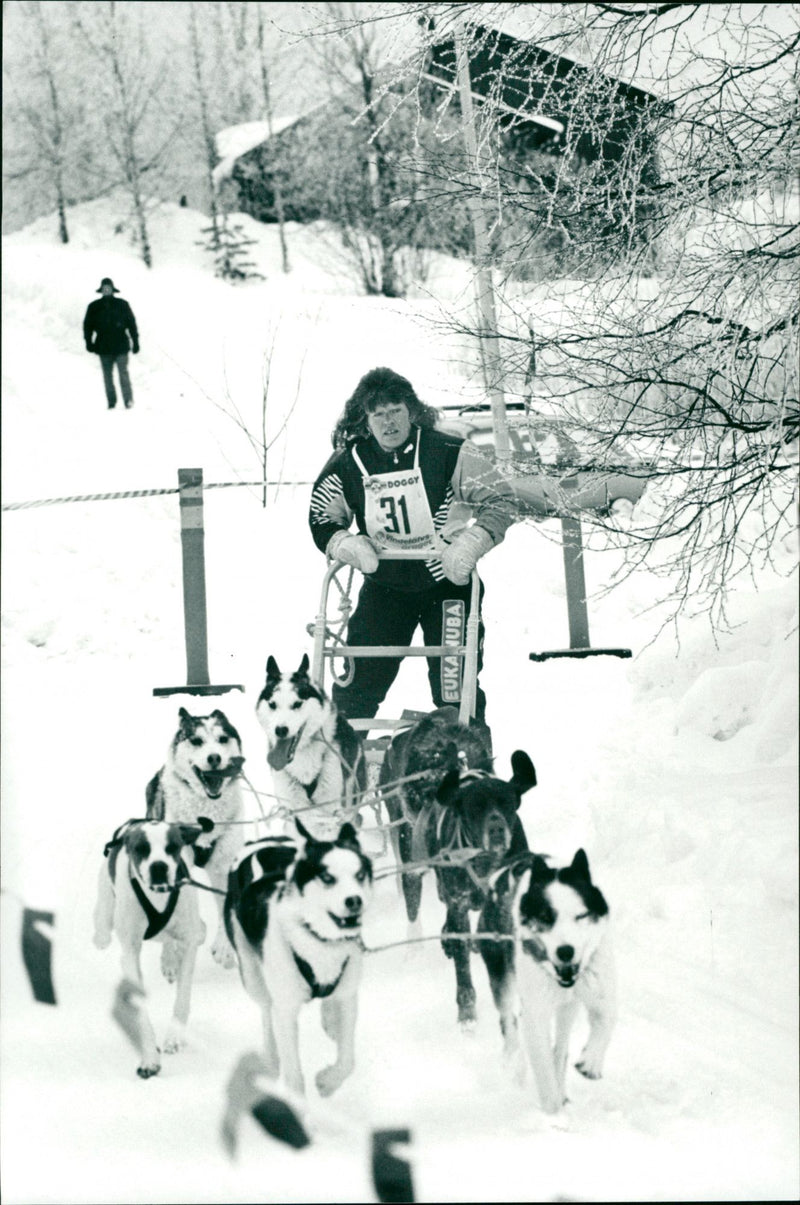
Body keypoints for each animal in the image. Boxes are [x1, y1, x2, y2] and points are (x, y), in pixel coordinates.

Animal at [143, 703, 243, 968]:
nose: (214, 757)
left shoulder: (225, 863)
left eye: (222, 739)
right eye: (197, 740)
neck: (205, 819)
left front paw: (225, 947)